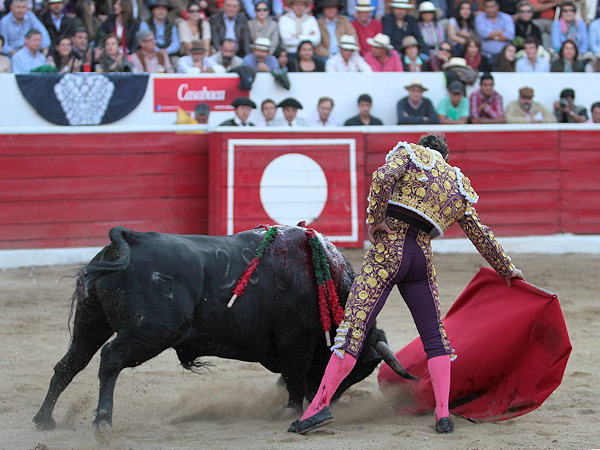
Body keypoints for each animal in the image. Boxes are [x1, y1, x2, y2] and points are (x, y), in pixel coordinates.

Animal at [34, 224, 412, 440]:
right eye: (360, 369)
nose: (321, 401)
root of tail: (131, 239)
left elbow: (289, 378)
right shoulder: (296, 345)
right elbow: (293, 379)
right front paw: (290, 410)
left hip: (90, 323)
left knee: (69, 364)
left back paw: (44, 420)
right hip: (149, 332)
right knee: (110, 360)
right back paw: (102, 424)